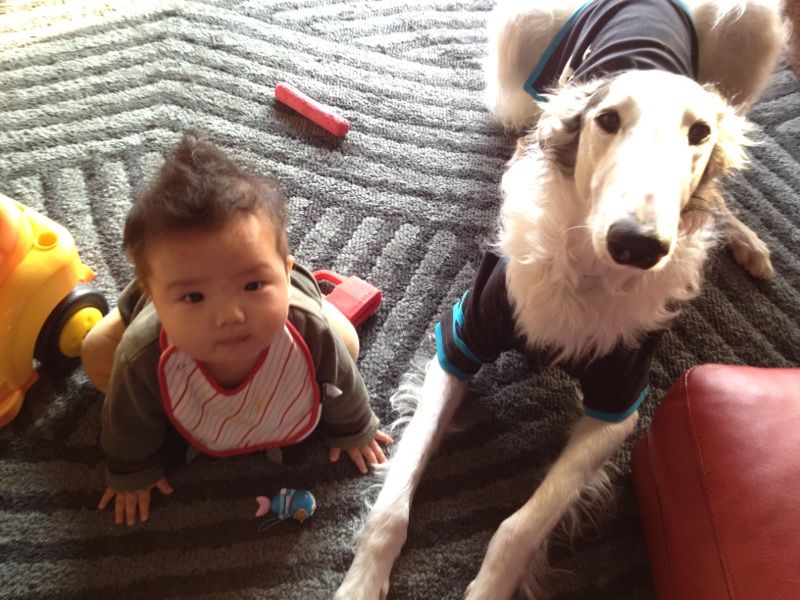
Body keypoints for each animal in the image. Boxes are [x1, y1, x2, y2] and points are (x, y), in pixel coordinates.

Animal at [333, 1, 784, 598]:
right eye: (608, 119)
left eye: (698, 132)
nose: (637, 244)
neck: (589, 271)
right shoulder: (462, 339)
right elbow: (393, 503)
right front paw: (361, 582)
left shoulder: (620, 403)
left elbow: (519, 528)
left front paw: (488, 587)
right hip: (518, 42)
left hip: (749, 35)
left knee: (722, 191)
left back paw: (747, 242)